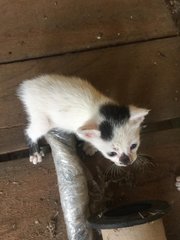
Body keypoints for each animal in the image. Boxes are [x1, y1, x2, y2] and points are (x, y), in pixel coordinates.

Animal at [16, 74, 149, 166]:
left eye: (134, 146)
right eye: (111, 153)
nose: (127, 161)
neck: (100, 109)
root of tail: (27, 87)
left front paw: (90, 146)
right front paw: (90, 146)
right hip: (42, 119)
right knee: (30, 132)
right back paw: (35, 153)